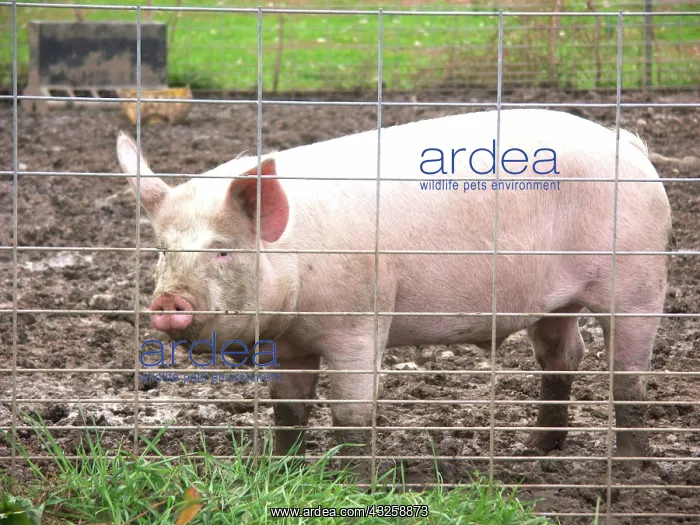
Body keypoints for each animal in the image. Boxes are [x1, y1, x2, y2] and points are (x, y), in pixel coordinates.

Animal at [116, 109, 671, 476]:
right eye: (162, 250)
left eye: (223, 250)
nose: (168, 302)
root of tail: (633, 149)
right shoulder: (291, 342)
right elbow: (288, 409)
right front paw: (282, 469)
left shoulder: (361, 318)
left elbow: (352, 413)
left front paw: (350, 479)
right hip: (556, 301)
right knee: (564, 354)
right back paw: (537, 450)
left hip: (639, 278)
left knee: (627, 374)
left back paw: (630, 469)